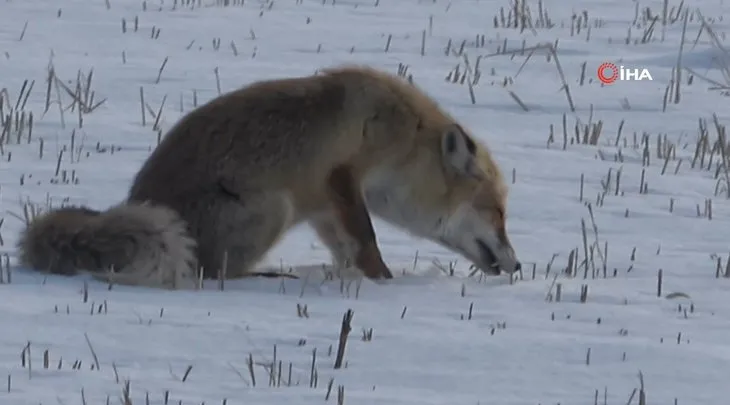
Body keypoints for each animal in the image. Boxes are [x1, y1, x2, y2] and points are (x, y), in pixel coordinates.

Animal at [14, 64, 520, 288]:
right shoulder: (342, 175)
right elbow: (368, 240)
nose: (518, 266)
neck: (407, 135)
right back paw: (266, 276)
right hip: (274, 207)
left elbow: (348, 248)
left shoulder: (323, 204)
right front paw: (384, 283)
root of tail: (137, 201)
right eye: (497, 212)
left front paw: (354, 277)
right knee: (211, 272)